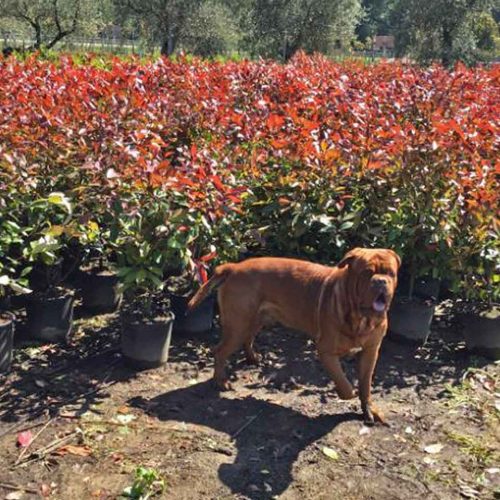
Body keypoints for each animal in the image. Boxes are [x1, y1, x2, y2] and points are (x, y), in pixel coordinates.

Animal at [188, 248, 402, 424]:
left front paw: (369, 410)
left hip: (255, 319)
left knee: (247, 339)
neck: (361, 317)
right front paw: (345, 394)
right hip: (238, 324)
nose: (381, 281)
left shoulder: (370, 352)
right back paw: (221, 381)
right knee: (220, 351)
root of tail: (233, 267)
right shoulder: (326, 351)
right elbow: (345, 383)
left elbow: (366, 385)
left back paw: (252, 358)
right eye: (367, 273)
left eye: (391, 273)